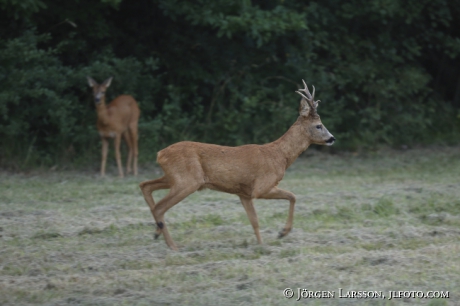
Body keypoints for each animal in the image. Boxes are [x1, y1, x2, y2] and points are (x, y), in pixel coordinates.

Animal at [138, 80, 336, 250]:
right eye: (319, 125)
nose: (332, 138)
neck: (280, 156)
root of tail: (160, 154)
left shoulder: (244, 193)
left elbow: (254, 221)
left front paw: (261, 245)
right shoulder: (261, 187)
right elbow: (293, 196)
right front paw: (282, 233)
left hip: (175, 177)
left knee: (145, 185)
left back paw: (157, 233)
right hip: (188, 180)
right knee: (159, 206)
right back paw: (172, 246)